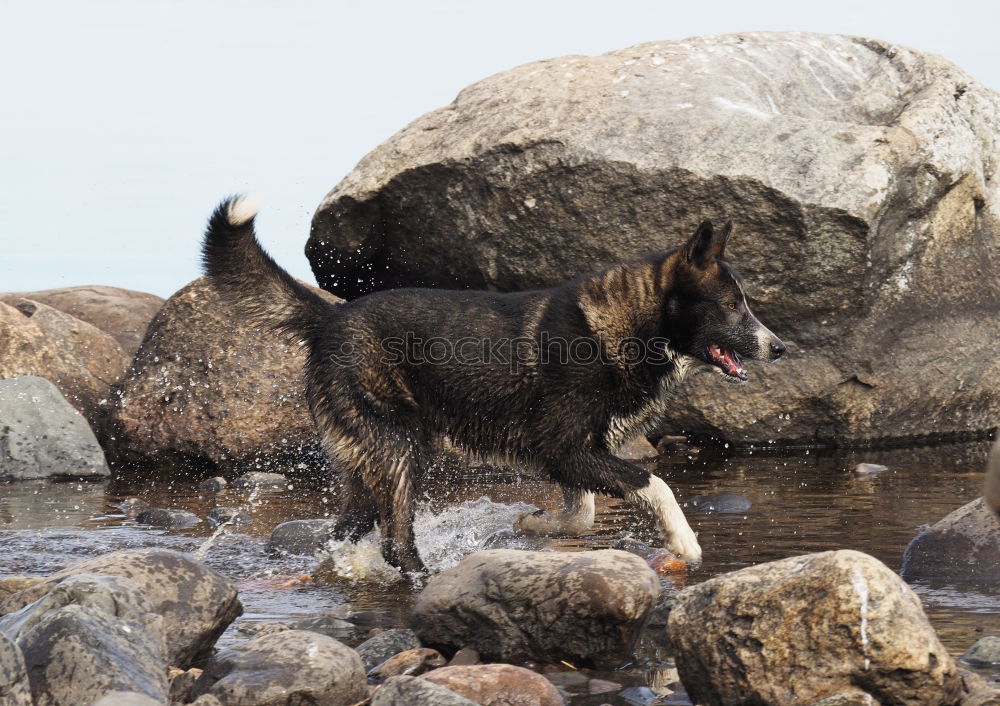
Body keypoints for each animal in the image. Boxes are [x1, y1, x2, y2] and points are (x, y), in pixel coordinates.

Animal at [201, 197, 780, 572]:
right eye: (732, 306)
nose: (779, 348)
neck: (628, 328)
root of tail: (330, 317)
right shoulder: (568, 449)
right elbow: (653, 485)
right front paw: (685, 544)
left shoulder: (569, 456)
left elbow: (580, 515)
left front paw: (532, 525)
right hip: (401, 447)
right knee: (395, 542)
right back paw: (427, 578)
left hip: (370, 460)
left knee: (348, 531)